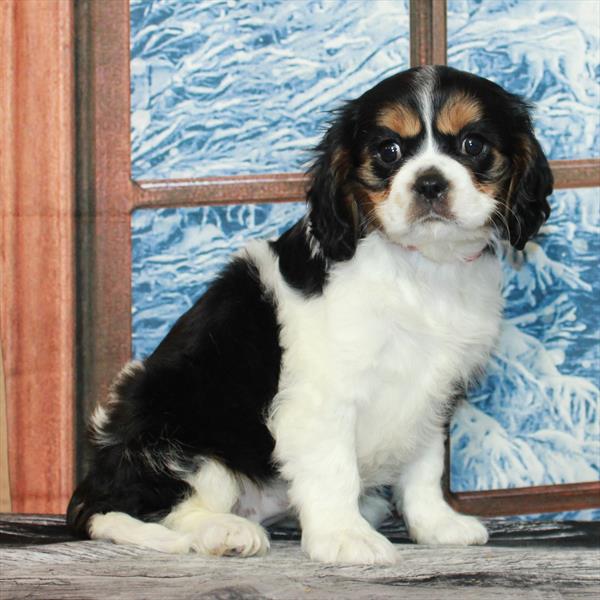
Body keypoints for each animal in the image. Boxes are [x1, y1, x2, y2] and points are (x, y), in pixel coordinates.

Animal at [67, 68, 552, 564]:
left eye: (473, 145)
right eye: (389, 151)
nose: (430, 183)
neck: (421, 269)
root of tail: (93, 483)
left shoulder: (433, 394)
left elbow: (424, 466)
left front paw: (435, 524)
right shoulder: (322, 396)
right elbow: (334, 468)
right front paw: (345, 537)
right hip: (179, 431)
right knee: (153, 510)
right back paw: (225, 531)